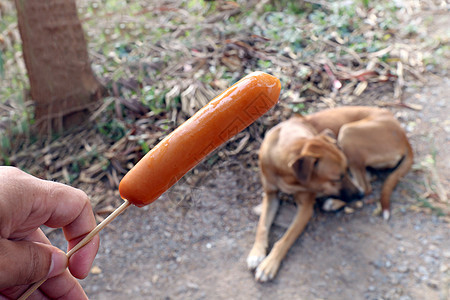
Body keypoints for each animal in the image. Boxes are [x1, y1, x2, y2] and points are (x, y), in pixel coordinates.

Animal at [248, 105, 414, 282]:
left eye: (344, 172)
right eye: (337, 178)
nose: (359, 195)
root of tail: (403, 135)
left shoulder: (305, 208)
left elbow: (286, 238)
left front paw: (269, 264)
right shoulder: (270, 195)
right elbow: (262, 225)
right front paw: (256, 253)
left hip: (347, 132)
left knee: (366, 186)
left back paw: (334, 202)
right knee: (368, 179)